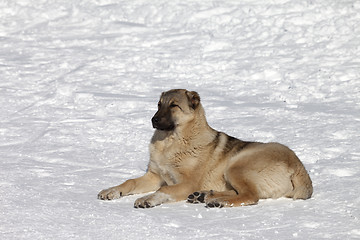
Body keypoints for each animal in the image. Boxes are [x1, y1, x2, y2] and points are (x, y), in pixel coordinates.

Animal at [98, 89, 312, 207]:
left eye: (174, 106)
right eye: (159, 104)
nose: (154, 120)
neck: (171, 142)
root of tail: (299, 168)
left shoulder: (186, 183)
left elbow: (164, 190)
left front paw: (148, 199)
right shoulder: (155, 176)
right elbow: (130, 182)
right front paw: (112, 190)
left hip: (236, 165)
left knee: (251, 196)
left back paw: (217, 201)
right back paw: (205, 196)